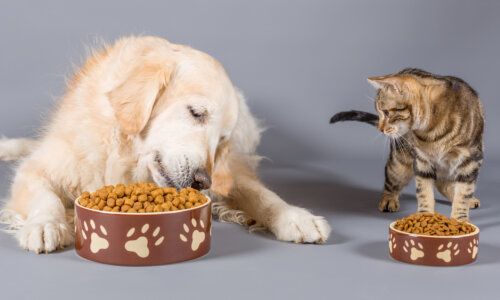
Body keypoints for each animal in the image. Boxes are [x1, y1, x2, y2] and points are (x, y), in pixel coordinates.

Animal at [0, 35, 332, 253]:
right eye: (197, 112)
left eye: (222, 139)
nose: (202, 181)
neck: (127, 156)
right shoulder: (38, 169)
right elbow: (46, 198)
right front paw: (45, 225)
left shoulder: (230, 174)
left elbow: (262, 195)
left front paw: (297, 218)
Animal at [332, 69, 484, 221]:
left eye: (386, 112)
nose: (381, 129)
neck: (432, 131)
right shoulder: (422, 161)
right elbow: (424, 194)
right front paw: (425, 217)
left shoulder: (470, 160)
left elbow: (463, 194)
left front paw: (459, 220)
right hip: (399, 163)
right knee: (392, 180)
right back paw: (388, 199)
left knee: (444, 183)